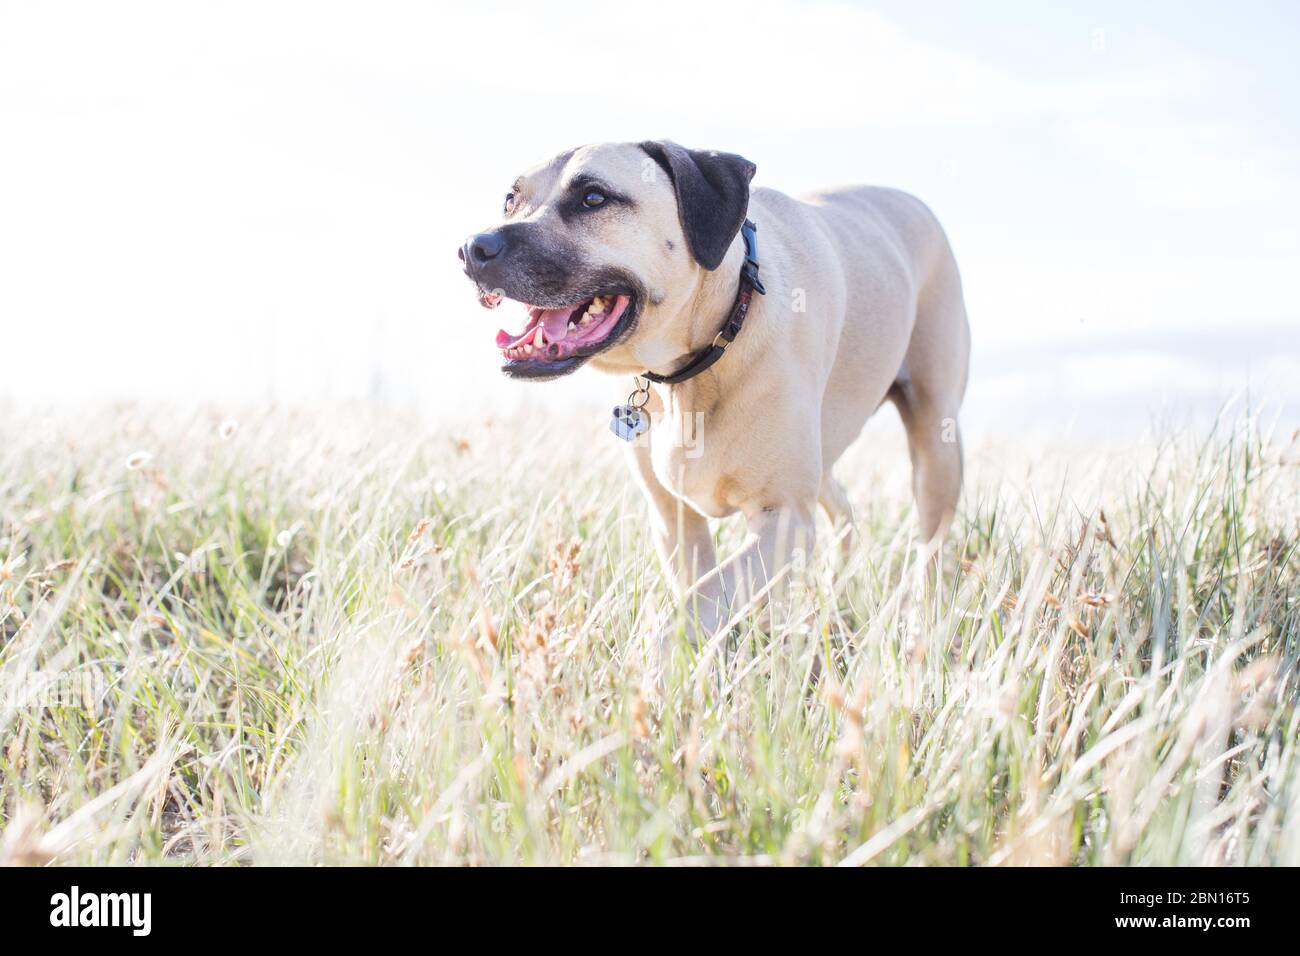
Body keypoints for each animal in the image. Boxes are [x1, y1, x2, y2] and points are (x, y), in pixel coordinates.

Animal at [462, 140, 972, 642]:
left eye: (593, 198)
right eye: (510, 200)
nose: (473, 248)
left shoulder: (783, 519)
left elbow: (699, 602)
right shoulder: (674, 520)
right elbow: (699, 596)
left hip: (936, 443)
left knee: (930, 542)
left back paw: (922, 621)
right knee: (841, 507)